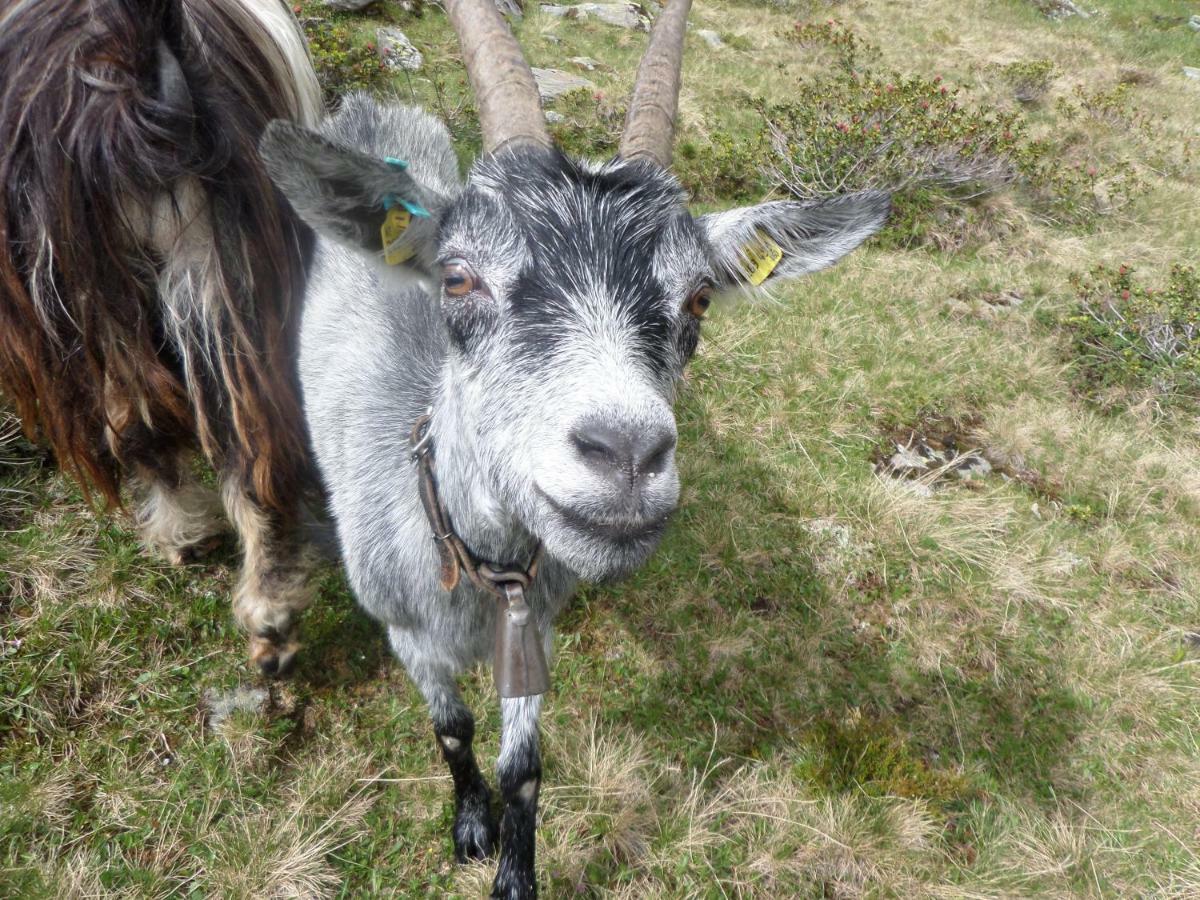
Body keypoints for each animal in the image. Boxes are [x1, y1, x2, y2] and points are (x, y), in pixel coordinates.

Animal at [260, 0, 883, 892]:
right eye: (457, 277)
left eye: (699, 297)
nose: (625, 455)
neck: (474, 568)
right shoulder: (406, 634)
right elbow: (452, 729)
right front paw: (470, 825)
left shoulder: (536, 627)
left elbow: (524, 766)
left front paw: (515, 872)